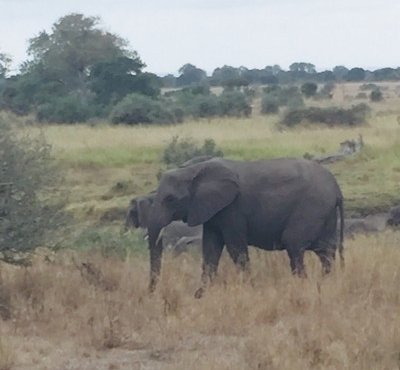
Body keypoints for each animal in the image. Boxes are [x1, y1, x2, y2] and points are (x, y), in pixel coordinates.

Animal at [148, 158, 346, 296]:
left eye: (170, 199)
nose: (151, 294)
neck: (194, 170)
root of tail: (337, 189)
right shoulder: (211, 211)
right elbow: (211, 249)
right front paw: (199, 295)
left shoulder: (232, 208)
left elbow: (235, 248)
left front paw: (250, 289)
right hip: (324, 212)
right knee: (325, 251)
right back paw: (325, 282)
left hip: (312, 207)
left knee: (295, 244)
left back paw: (303, 285)